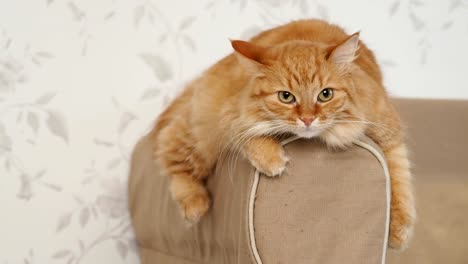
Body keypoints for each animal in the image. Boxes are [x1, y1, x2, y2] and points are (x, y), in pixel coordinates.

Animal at [149, 19, 414, 250]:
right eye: (286, 97)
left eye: (325, 94)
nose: (307, 119)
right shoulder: (232, 115)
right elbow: (247, 135)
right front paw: (271, 159)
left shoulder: (388, 132)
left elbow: (398, 180)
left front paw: (398, 231)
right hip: (198, 135)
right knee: (171, 159)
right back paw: (194, 205)